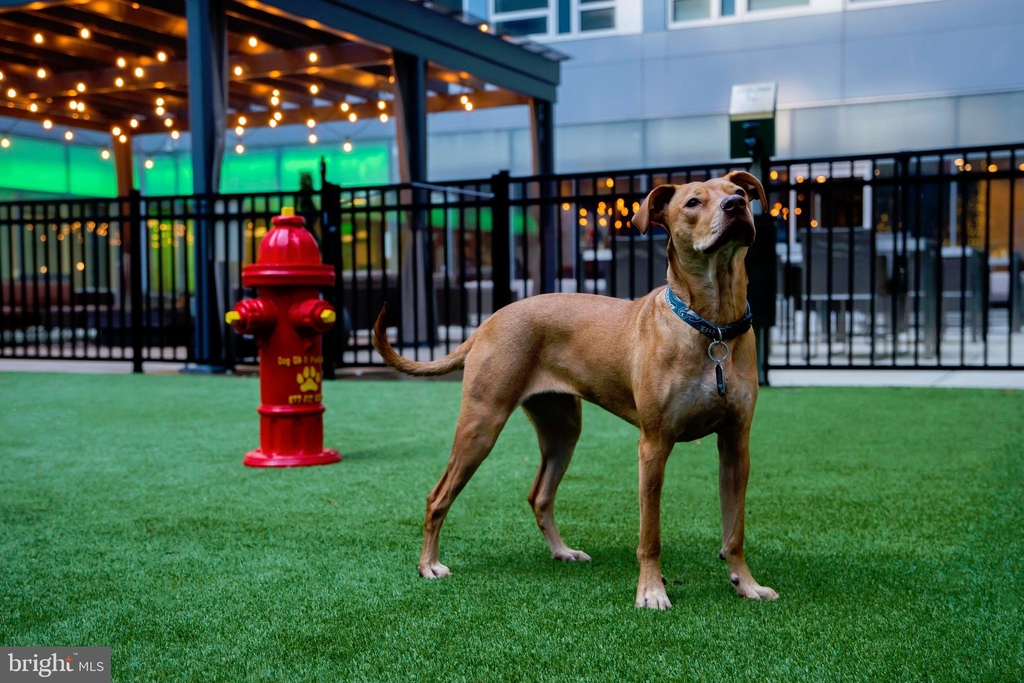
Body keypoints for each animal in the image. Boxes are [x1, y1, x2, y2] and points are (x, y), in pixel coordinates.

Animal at [372, 171, 778, 610]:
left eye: (738, 194)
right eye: (692, 202)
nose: (735, 207)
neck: (712, 325)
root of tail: (490, 320)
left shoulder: (736, 445)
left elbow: (734, 531)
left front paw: (746, 583)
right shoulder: (653, 446)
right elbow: (649, 535)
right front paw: (651, 590)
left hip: (562, 430)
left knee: (540, 496)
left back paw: (561, 551)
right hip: (481, 424)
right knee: (438, 497)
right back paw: (429, 565)